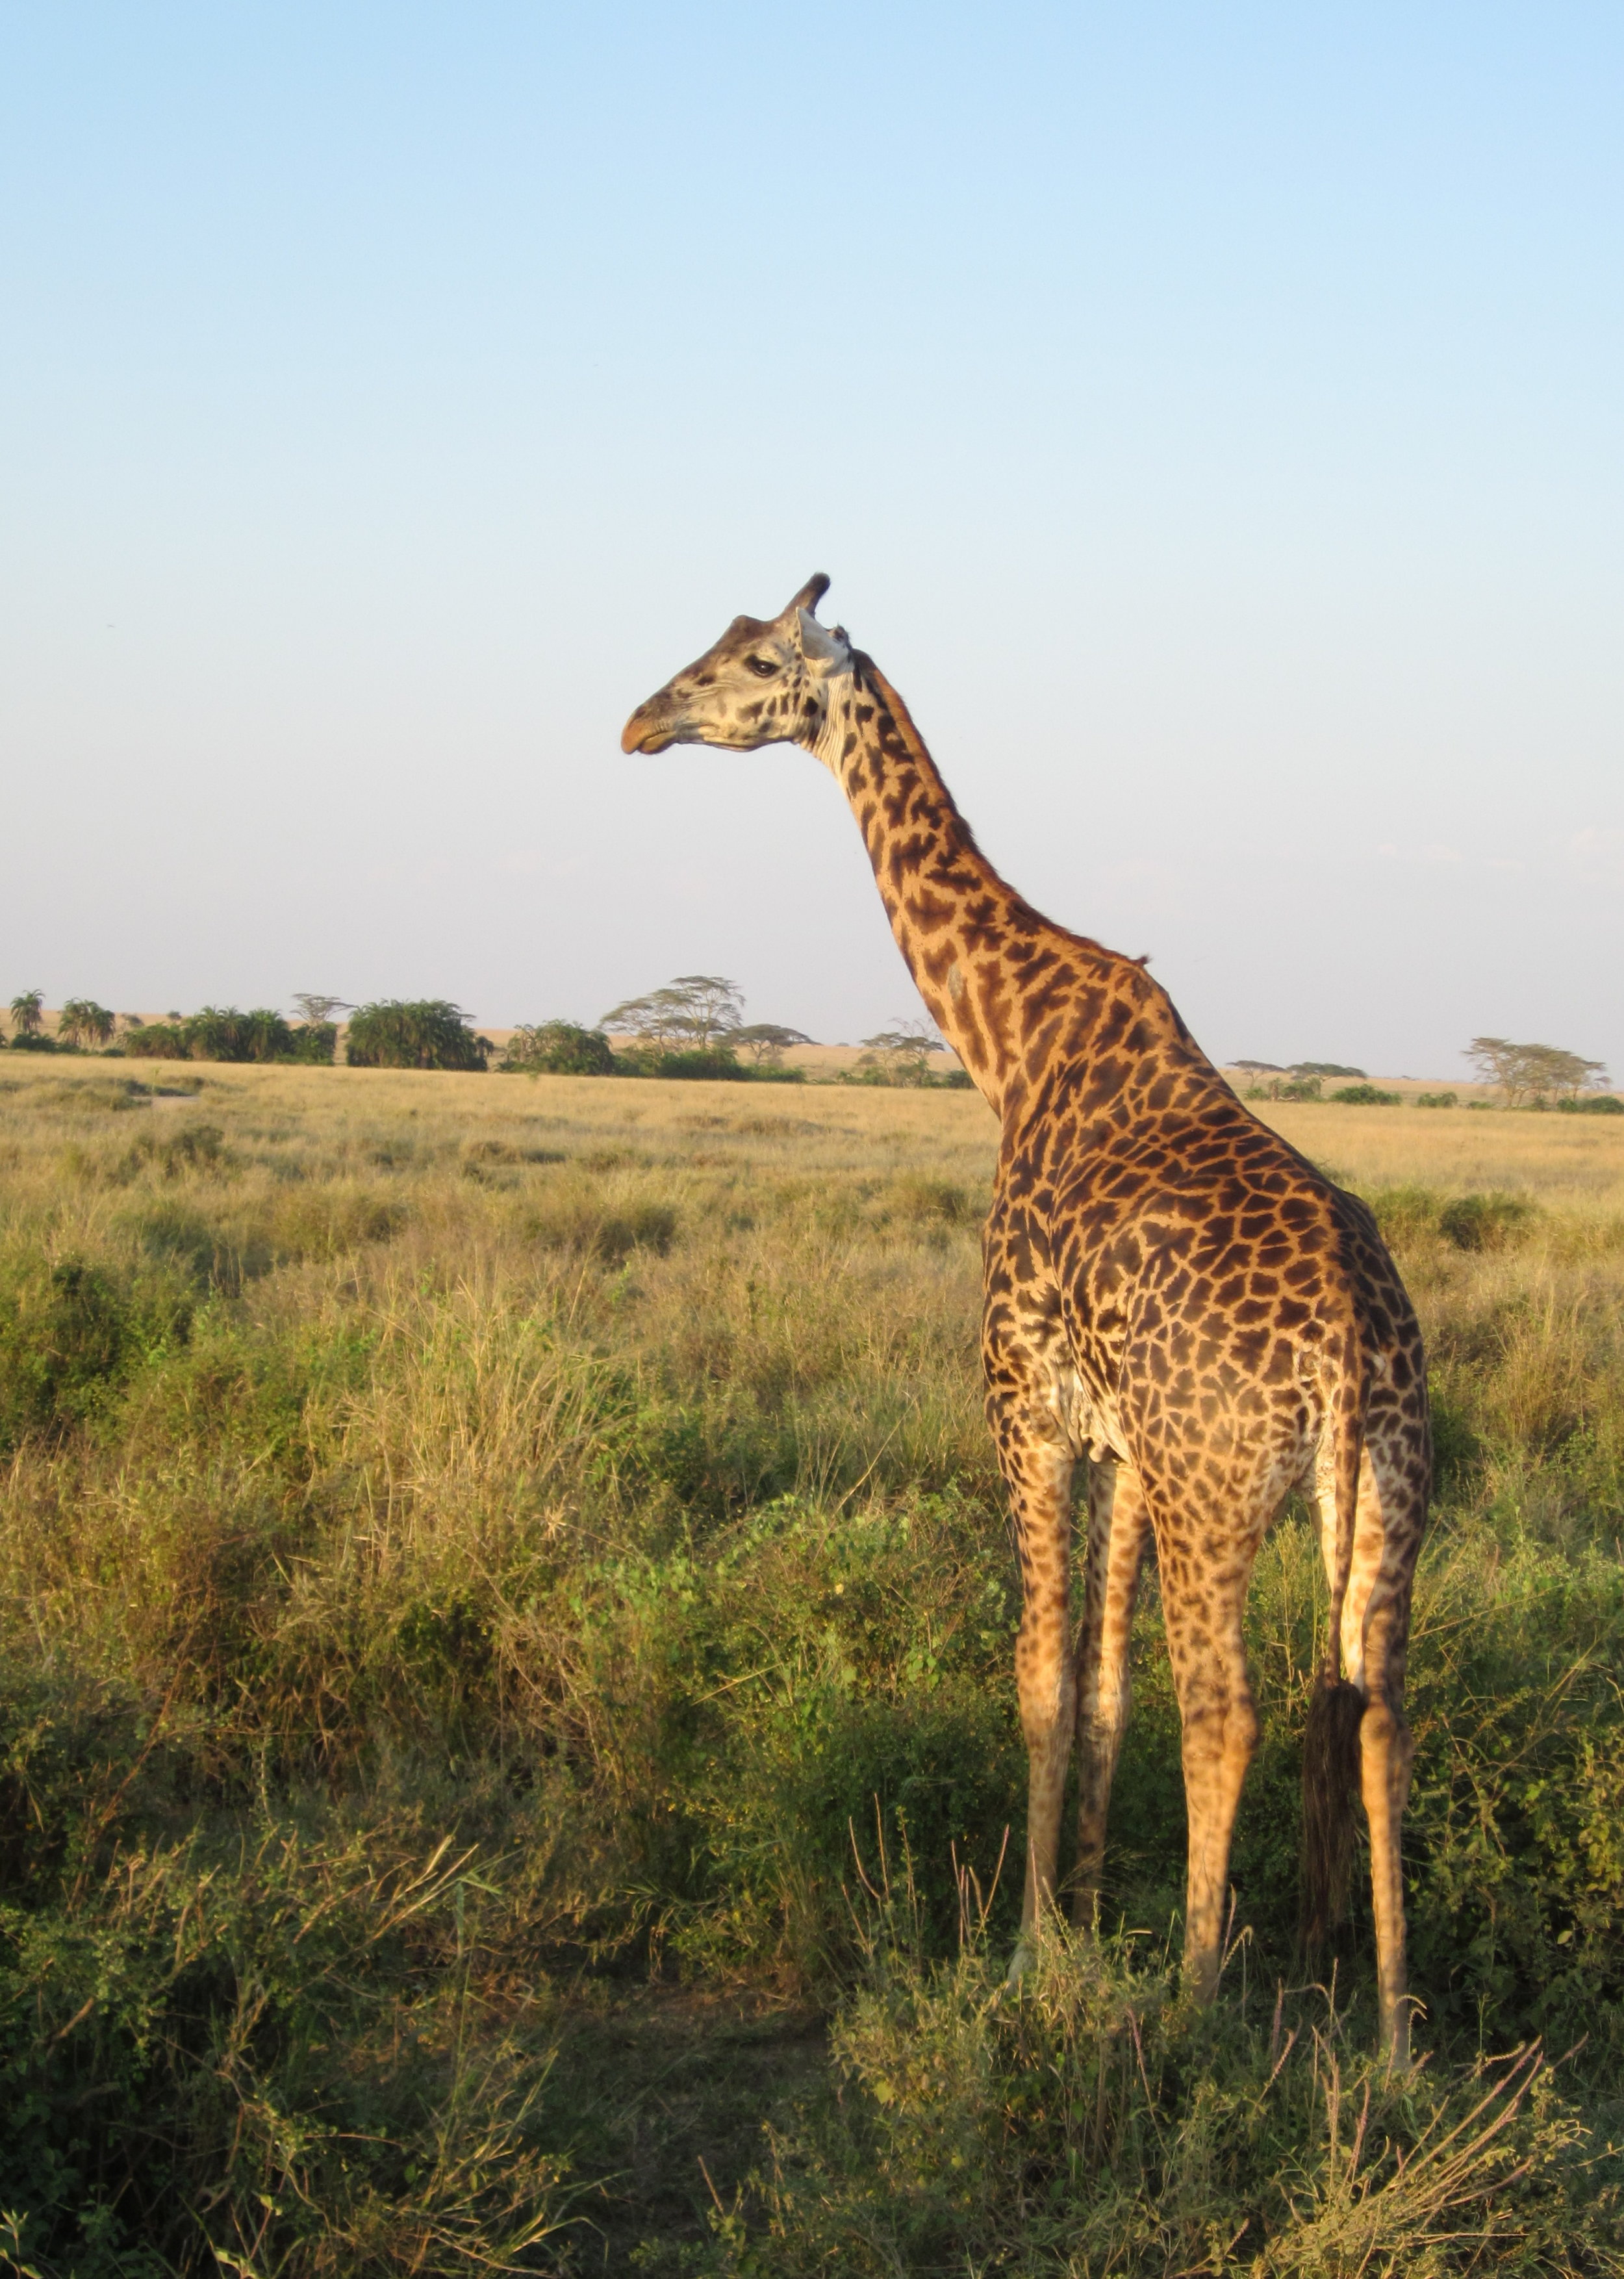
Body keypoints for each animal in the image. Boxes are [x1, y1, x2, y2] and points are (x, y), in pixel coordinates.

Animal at [619, 574, 1430, 2069]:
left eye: (752, 663)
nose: (640, 720)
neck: (1006, 1042)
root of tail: (1352, 1347)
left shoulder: (1021, 1404)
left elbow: (1039, 1678)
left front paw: (1027, 1948)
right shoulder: (1120, 1448)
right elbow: (1105, 1692)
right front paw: (1081, 1916)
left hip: (1220, 1486)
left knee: (1228, 1704)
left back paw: (1195, 1995)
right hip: (1385, 1494)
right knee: (1374, 1710)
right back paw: (1396, 2040)